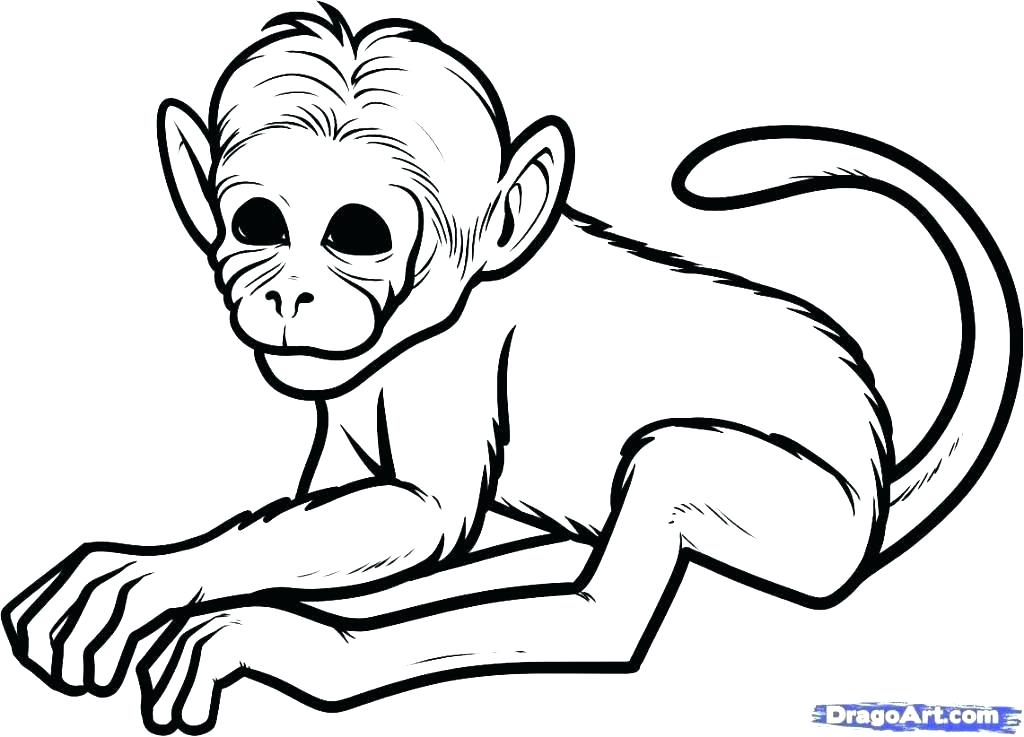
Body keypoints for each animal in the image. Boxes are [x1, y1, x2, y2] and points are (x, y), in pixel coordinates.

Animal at [3, 4, 1020, 734]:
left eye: (357, 234)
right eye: (257, 224)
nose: (289, 293)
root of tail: (879, 480)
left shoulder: (448, 365)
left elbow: (425, 514)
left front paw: (182, 584)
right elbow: (336, 510)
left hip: (810, 519)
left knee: (612, 589)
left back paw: (314, 648)